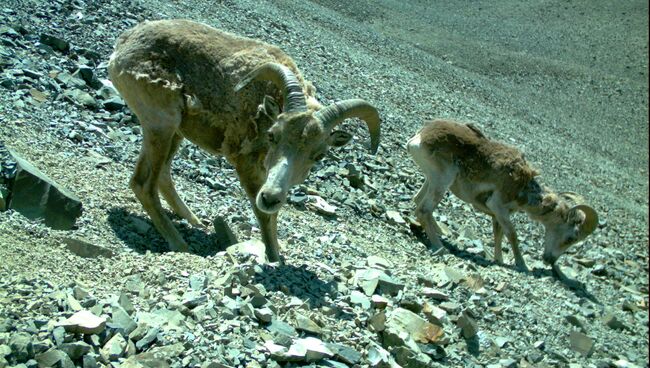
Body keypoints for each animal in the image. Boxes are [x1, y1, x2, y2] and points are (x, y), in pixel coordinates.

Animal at [107, 20, 380, 262]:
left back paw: (195, 221)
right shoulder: (246, 163)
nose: (270, 197)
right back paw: (180, 244)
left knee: (162, 175)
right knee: (143, 184)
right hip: (161, 124)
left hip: (175, 132)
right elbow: (263, 214)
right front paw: (274, 258)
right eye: (272, 135)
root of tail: (122, 46)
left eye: (319, 155)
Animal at [408, 119, 596, 280]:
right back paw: (440, 247)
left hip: (432, 181)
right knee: (423, 210)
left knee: (418, 201)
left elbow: (498, 235)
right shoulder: (498, 206)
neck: (523, 188)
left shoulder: (496, 215)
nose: (549, 260)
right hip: (441, 182)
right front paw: (522, 265)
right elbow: (512, 235)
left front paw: (499, 260)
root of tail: (419, 138)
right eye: (571, 238)